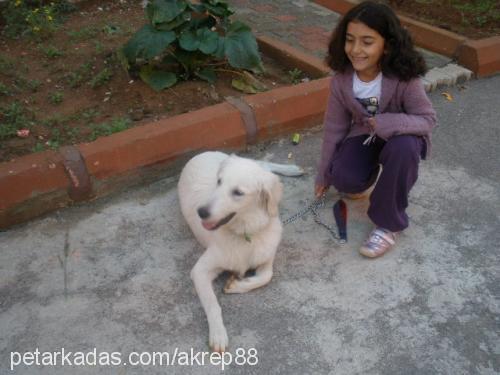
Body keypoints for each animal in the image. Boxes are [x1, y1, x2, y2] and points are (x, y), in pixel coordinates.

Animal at [180, 151, 304, 352]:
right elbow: (213, 304)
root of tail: (201, 153)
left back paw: (291, 169)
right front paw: (218, 334)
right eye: (219, 182)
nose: (201, 212)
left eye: (238, 192)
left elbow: (266, 276)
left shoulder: (267, 257)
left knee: (263, 164)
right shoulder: (199, 271)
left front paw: (236, 285)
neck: (245, 234)